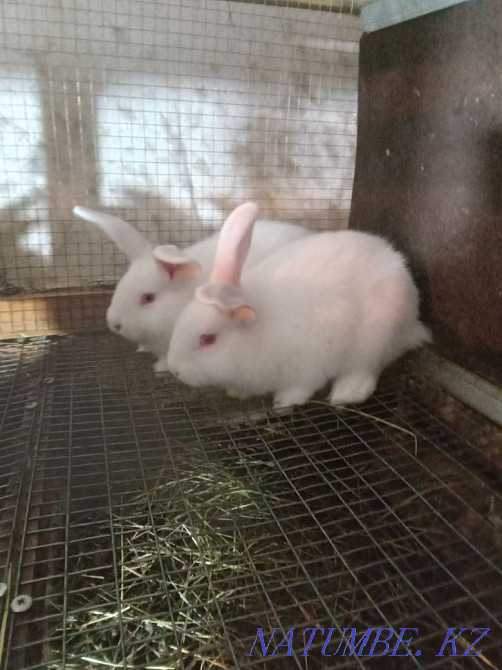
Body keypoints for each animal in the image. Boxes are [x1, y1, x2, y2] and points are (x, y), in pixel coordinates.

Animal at [166, 202, 431, 408]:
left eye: (208, 339)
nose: (175, 370)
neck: (258, 332)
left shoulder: (307, 365)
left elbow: (301, 388)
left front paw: (283, 402)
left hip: (374, 342)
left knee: (365, 370)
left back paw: (345, 394)